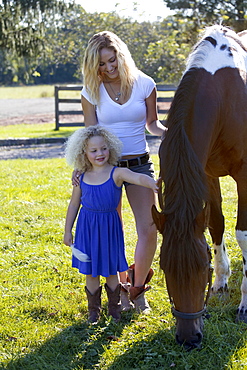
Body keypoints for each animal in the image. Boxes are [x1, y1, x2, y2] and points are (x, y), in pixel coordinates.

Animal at [151, 25, 247, 350]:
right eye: (165, 267)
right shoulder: (206, 173)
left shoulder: (245, 174)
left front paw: (245, 305)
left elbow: (242, 233)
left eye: (202, 268)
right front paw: (222, 281)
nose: (188, 338)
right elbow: (216, 223)